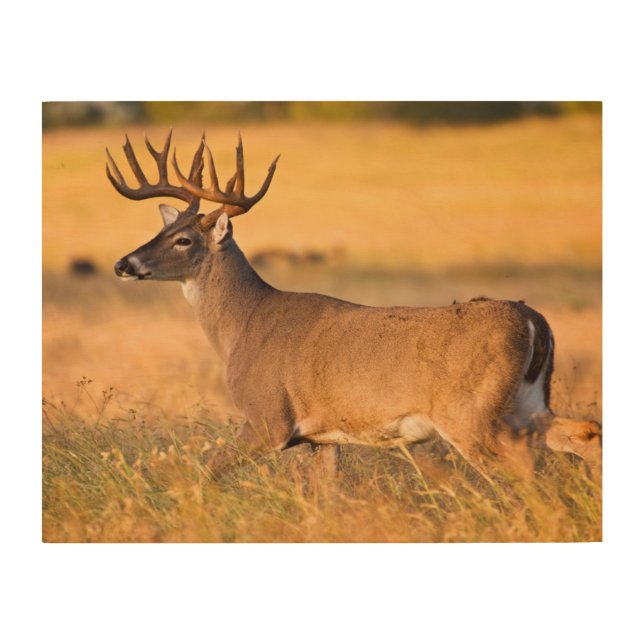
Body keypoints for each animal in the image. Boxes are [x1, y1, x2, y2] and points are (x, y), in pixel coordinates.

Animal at [107, 131, 602, 484]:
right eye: (163, 231)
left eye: (183, 240)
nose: (123, 263)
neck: (244, 325)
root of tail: (535, 320)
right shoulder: (322, 438)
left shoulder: (268, 417)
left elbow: (205, 474)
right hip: (526, 401)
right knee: (585, 431)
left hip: (471, 411)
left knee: (522, 462)